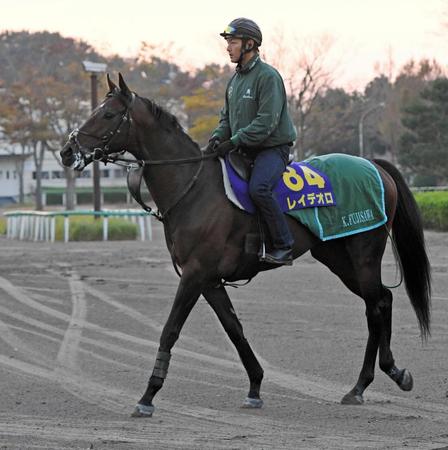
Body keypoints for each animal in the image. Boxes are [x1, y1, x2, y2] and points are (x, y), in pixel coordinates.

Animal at [59, 74, 430, 418]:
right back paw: (380, 377)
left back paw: (372, 381)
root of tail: (374, 165)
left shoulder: (194, 275)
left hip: (363, 253)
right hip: (337, 257)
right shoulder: (209, 280)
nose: (67, 151)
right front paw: (255, 386)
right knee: (382, 299)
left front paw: (148, 396)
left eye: (107, 114)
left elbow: (170, 331)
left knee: (375, 306)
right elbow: (234, 329)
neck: (194, 187)